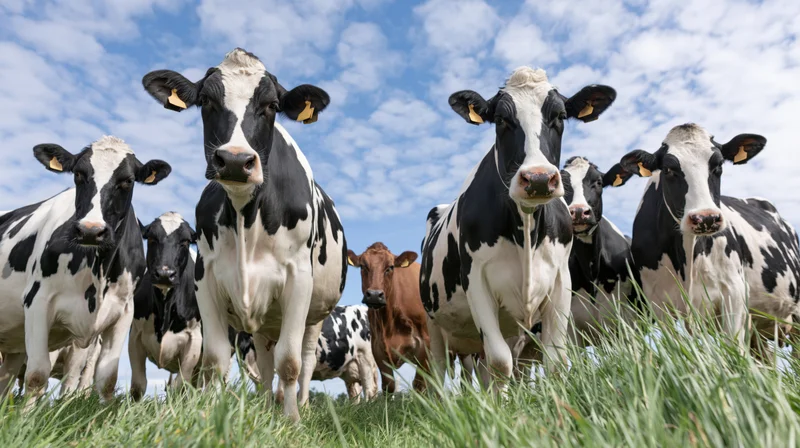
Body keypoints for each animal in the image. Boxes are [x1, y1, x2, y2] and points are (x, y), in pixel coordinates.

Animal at [0, 136, 171, 402]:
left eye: (128, 180)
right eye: (79, 174)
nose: (91, 230)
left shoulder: (123, 313)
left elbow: (106, 380)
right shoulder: (37, 300)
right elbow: (37, 376)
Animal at [142, 48, 346, 421]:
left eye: (272, 105)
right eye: (205, 100)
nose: (236, 161)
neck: (245, 217)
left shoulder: (299, 279)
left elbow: (290, 362)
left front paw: (292, 421)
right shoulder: (205, 279)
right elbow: (216, 361)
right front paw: (213, 416)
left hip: (316, 313)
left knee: (305, 359)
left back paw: (301, 406)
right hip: (264, 322)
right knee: (265, 365)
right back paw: (266, 407)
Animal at [346, 243, 431, 393]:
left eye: (390, 267)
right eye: (363, 266)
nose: (374, 295)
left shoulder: (425, 345)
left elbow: (420, 385)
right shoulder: (378, 348)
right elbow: (389, 385)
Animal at [420, 67, 616, 387]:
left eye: (560, 116)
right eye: (501, 119)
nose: (538, 178)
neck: (526, 228)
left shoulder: (560, 281)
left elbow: (555, 362)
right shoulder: (476, 280)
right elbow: (500, 363)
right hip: (434, 324)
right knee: (439, 371)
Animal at [617, 123, 800, 356]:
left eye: (718, 166)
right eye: (668, 169)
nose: (706, 218)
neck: (685, 258)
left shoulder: (734, 293)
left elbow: (734, 350)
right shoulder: (658, 304)